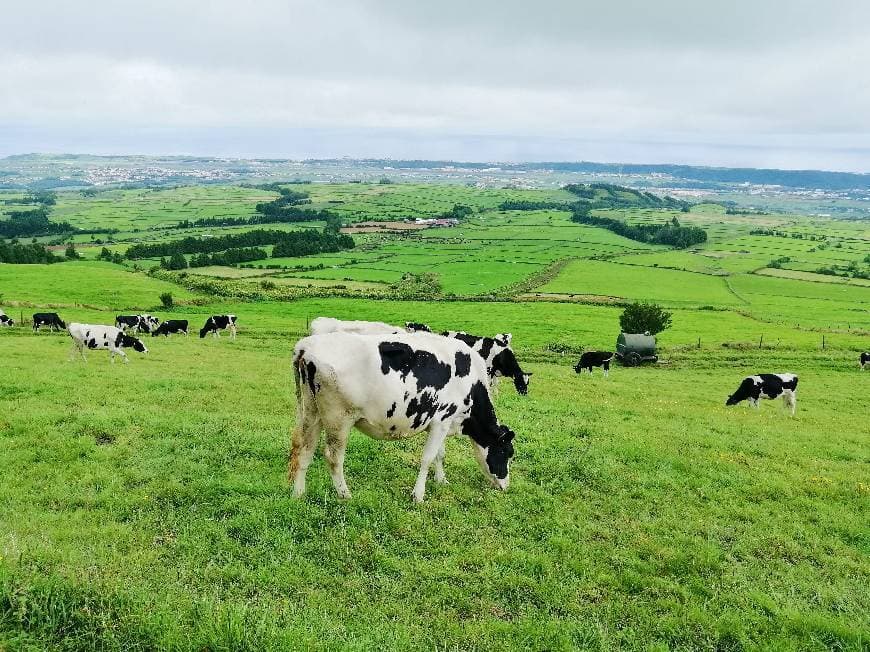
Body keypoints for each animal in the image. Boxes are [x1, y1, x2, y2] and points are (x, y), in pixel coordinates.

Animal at [292, 332, 516, 504]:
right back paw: (344, 494)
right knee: (333, 457)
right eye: (506, 452)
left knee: (304, 450)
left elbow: (440, 454)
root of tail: (306, 346)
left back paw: (299, 493)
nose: (505, 486)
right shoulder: (442, 419)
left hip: (311, 412)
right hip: (339, 419)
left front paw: (441, 480)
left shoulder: (443, 423)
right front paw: (418, 495)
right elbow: (427, 458)